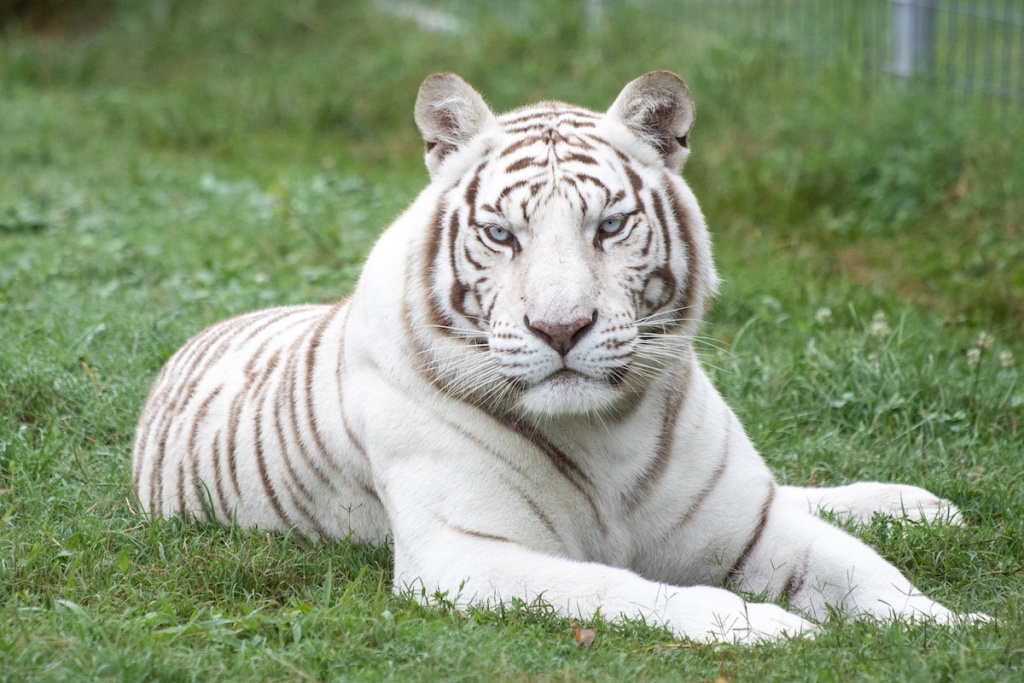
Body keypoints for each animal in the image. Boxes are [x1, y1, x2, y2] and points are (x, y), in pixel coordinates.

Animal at [132, 72, 987, 643]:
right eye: (500, 233)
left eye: (609, 225)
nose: (562, 326)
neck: (609, 430)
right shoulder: (468, 553)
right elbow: (624, 587)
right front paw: (770, 626)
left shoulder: (750, 521)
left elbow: (865, 569)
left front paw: (950, 621)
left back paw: (919, 504)